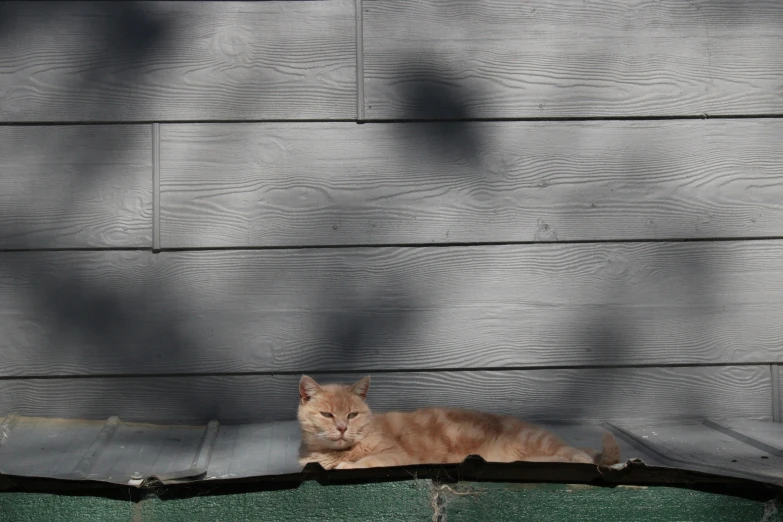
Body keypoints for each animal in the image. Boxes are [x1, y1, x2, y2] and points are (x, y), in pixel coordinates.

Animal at [298, 372, 620, 470]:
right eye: (327, 414)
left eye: (352, 414)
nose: (342, 428)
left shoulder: (396, 456)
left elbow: (365, 462)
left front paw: (347, 465)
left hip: (538, 441)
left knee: (578, 456)